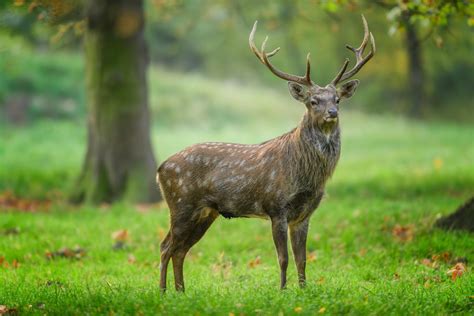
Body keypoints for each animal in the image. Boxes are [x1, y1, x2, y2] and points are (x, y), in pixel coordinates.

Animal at [157, 15, 376, 292]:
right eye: (313, 101)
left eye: (337, 99)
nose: (332, 113)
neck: (306, 174)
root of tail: (161, 168)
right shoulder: (276, 206)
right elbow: (283, 258)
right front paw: (282, 290)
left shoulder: (304, 213)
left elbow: (302, 258)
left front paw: (304, 290)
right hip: (181, 203)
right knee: (166, 246)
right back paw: (163, 291)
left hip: (205, 212)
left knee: (180, 250)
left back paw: (181, 291)